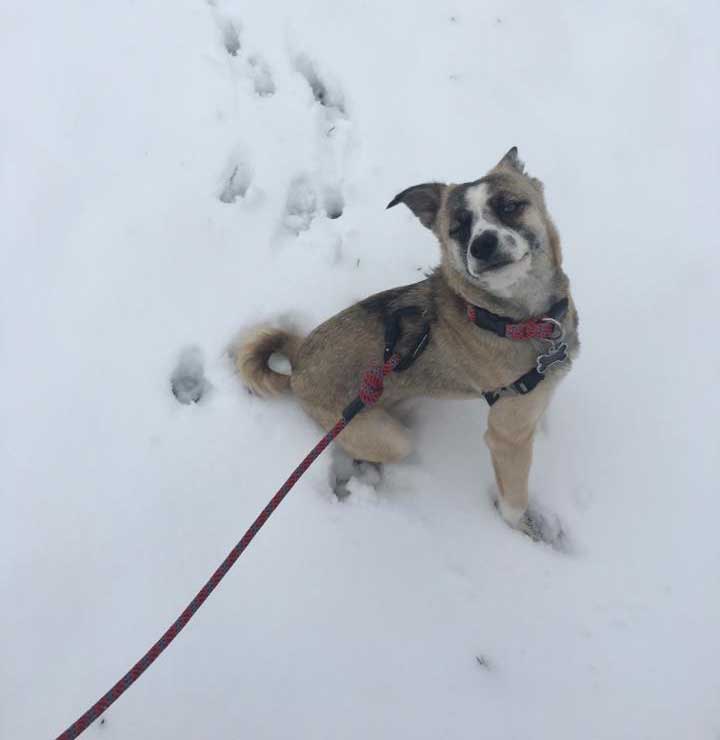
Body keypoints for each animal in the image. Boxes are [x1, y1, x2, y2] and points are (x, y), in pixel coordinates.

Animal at [236, 149, 580, 536]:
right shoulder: (507, 435)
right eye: (457, 230)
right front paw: (524, 528)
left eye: (509, 205)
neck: (514, 320)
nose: (482, 244)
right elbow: (514, 501)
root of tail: (297, 365)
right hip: (388, 438)